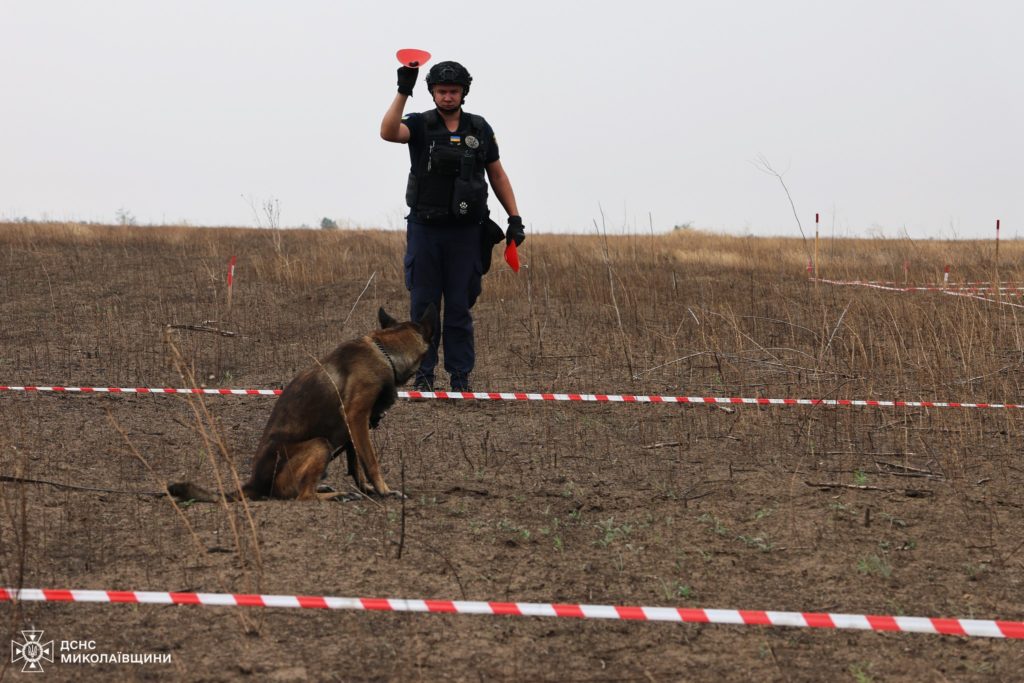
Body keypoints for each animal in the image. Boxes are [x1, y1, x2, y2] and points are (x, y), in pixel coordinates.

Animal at [166, 305, 436, 501]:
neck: (384, 352)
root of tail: (254, 484)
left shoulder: (353, 427)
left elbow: (355, 464)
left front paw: (368, 489)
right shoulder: (356, 416)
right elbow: (369, 461)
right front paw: (383, 490)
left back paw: (326, 488)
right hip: (320, 444)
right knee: (302, 496)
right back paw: (335, 495)